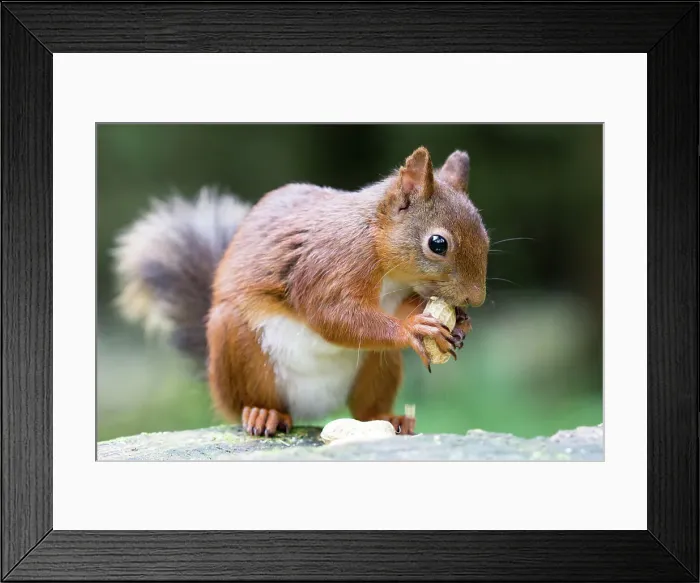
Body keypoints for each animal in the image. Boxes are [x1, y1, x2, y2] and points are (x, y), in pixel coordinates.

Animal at [113, 146, 489, 437]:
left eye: (485, 235)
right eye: (437, 243)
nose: (476, 299)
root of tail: (315, 407)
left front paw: (459, 324)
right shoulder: (329, 264)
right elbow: (331, 314)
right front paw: (413, 328)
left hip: (378, 365)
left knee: (367, 409)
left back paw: (390, 418)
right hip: (235, 344)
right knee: (253, 402)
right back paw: (263, 414)